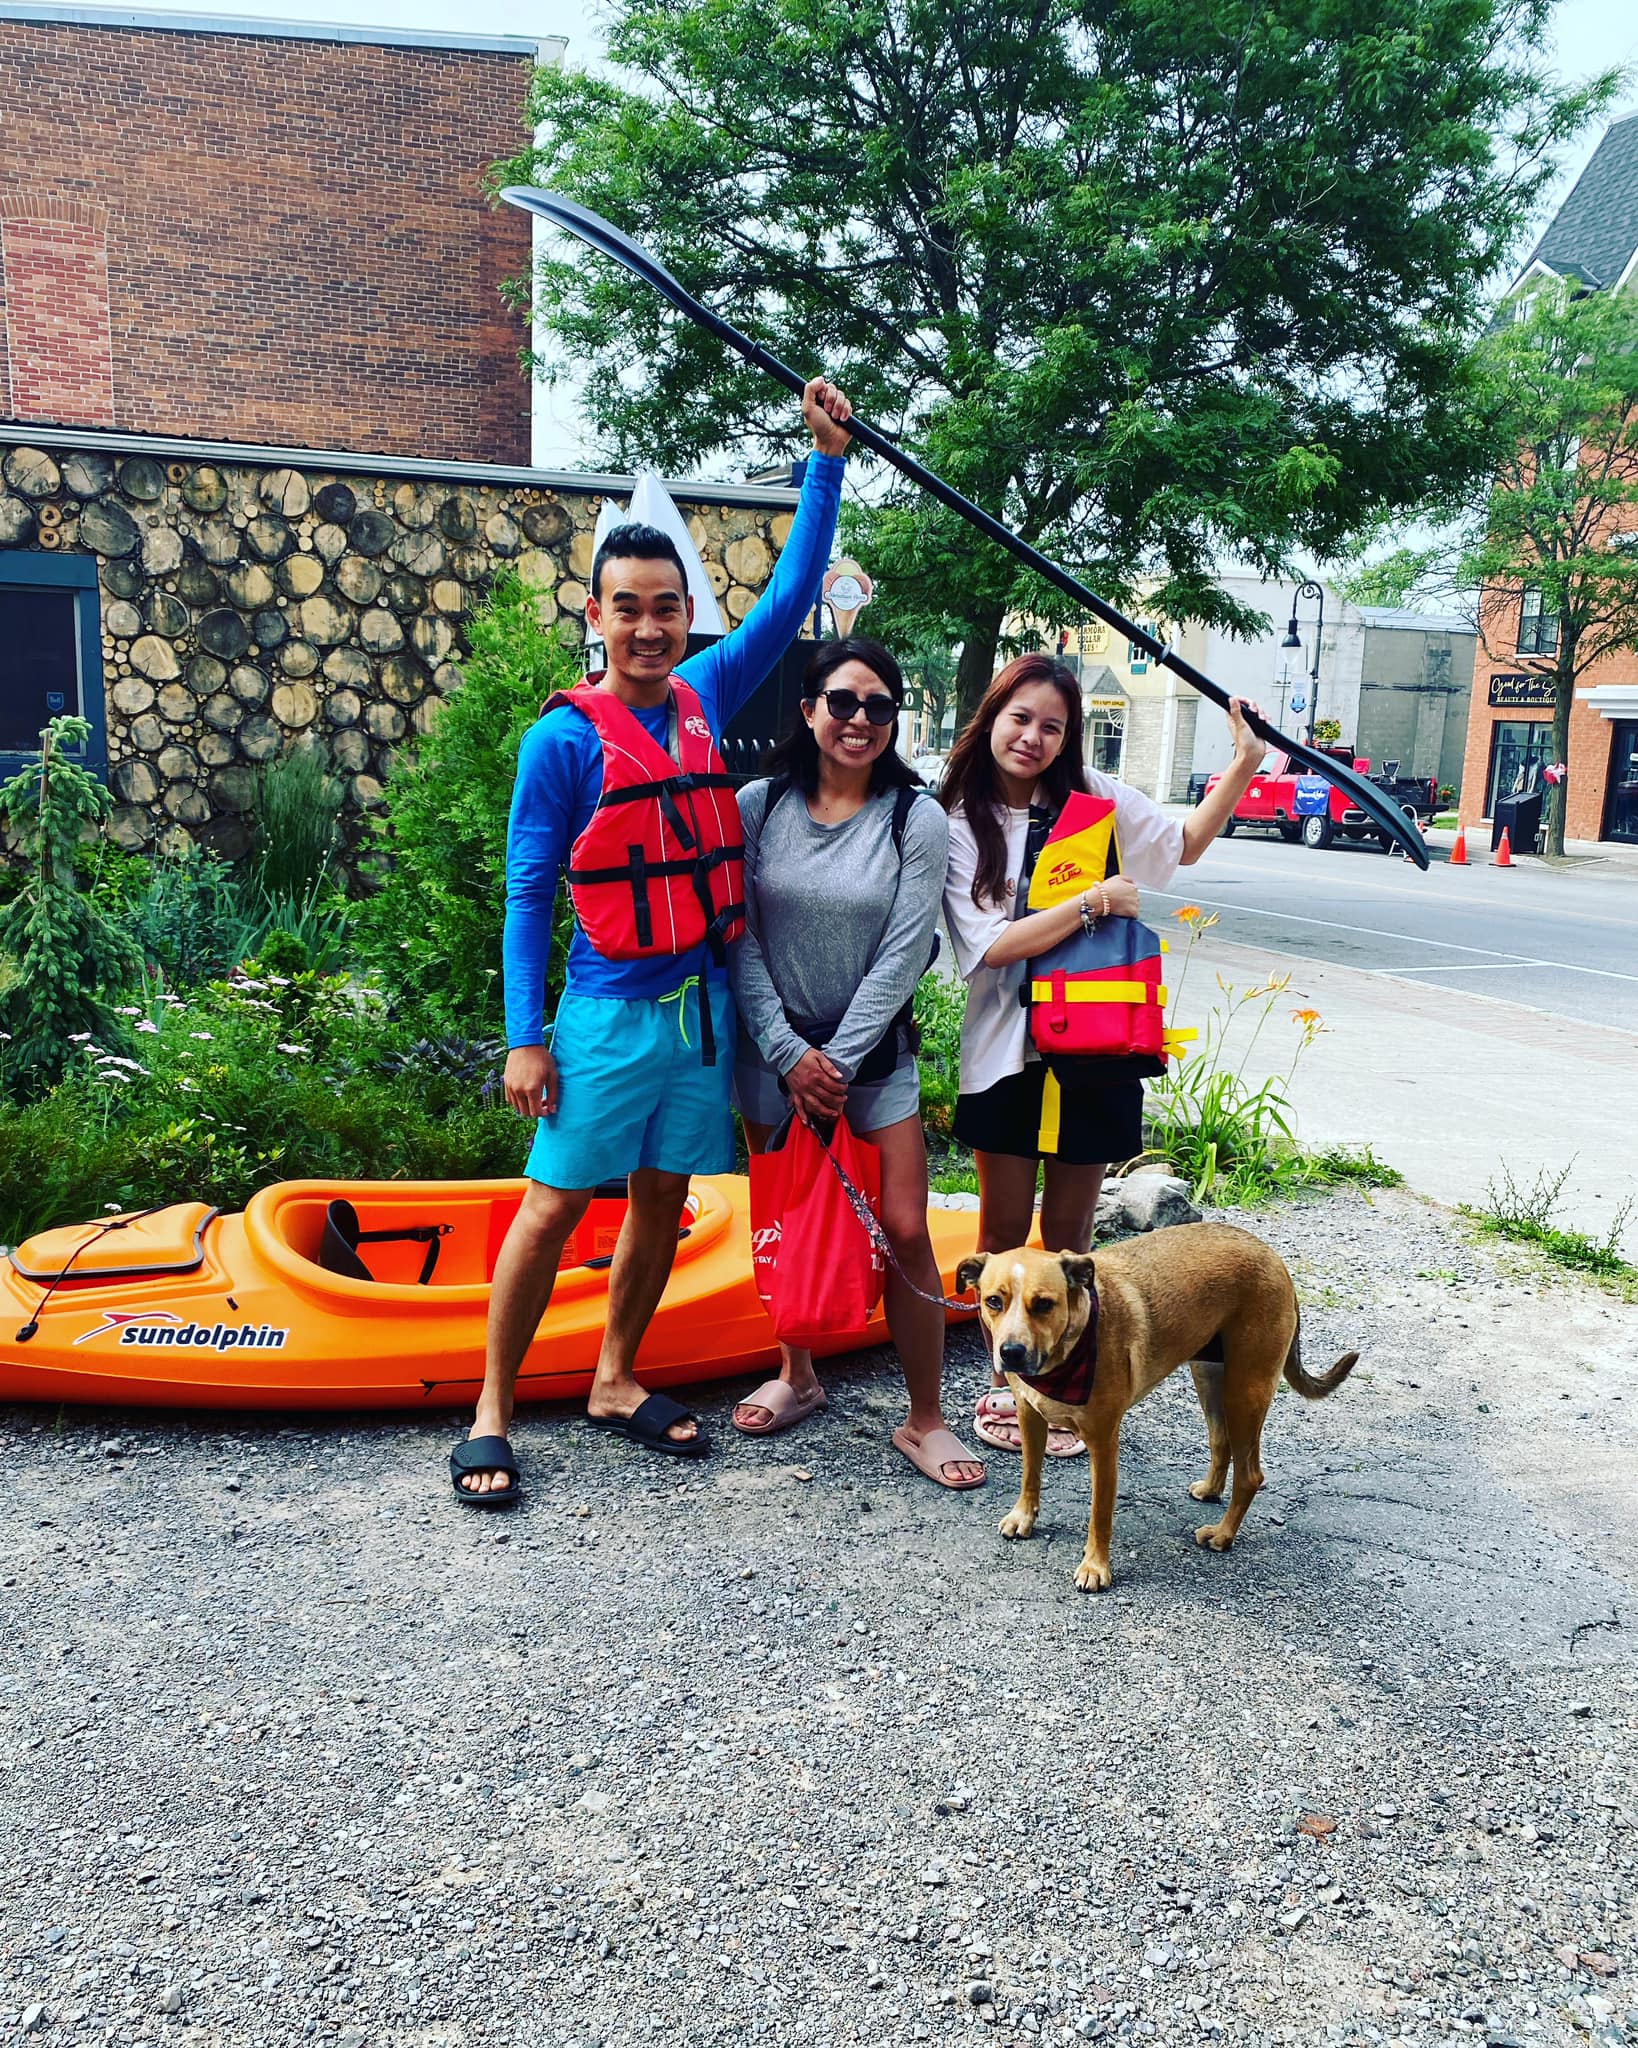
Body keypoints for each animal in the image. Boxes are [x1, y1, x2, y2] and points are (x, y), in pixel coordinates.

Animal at [958, 1220, 1359, 1589]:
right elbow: (1030, 1474)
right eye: (994, 1301)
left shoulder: (1103, 1442)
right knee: (1221, 1442)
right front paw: (1023, 1517)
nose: (1010, 1353)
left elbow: (1100, 1513)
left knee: (1251, 1475)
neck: (1067, 1352)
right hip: (1210, 1378)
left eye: (1043, 1304)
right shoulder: (1029, 1416)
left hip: (1246, 1392)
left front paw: (1095, 1567)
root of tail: (1275, 1259)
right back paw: (1210, 1490)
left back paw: (1222, 1535)